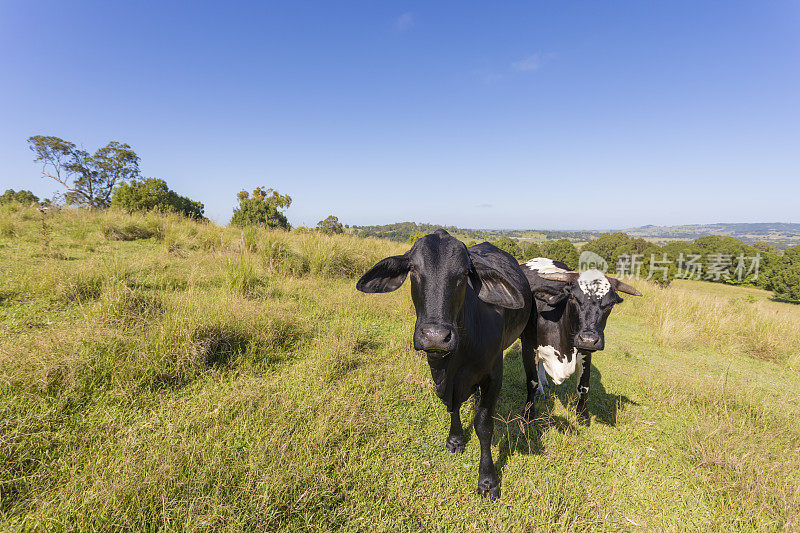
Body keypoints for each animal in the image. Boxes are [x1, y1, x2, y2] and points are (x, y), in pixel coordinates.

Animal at [356, 230, 532, 498]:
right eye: (413, 269)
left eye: (464, 274)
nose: (436, 336)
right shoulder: (444, 376)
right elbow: (453, 406)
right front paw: (456, 439)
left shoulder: (494, 376)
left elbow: (484, 426)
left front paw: (488, 480)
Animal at [520, 256, 644, 424]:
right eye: (572, 297)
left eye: (610, 304)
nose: (588, 339)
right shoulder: (528, 347)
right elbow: (531, 382)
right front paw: (528, 413)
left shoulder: (586, 352)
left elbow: (584, 386)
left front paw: (582, 415)